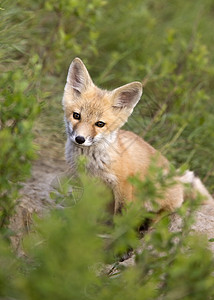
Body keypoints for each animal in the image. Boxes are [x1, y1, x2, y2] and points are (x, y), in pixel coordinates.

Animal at [61, 57, 212, 214]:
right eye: (76, 116)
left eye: (100, 124)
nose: (80, 139)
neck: (91, 163)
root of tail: (176, 178)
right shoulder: (88, 185)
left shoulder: (123, 185)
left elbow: (120, 215)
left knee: (165, 210)